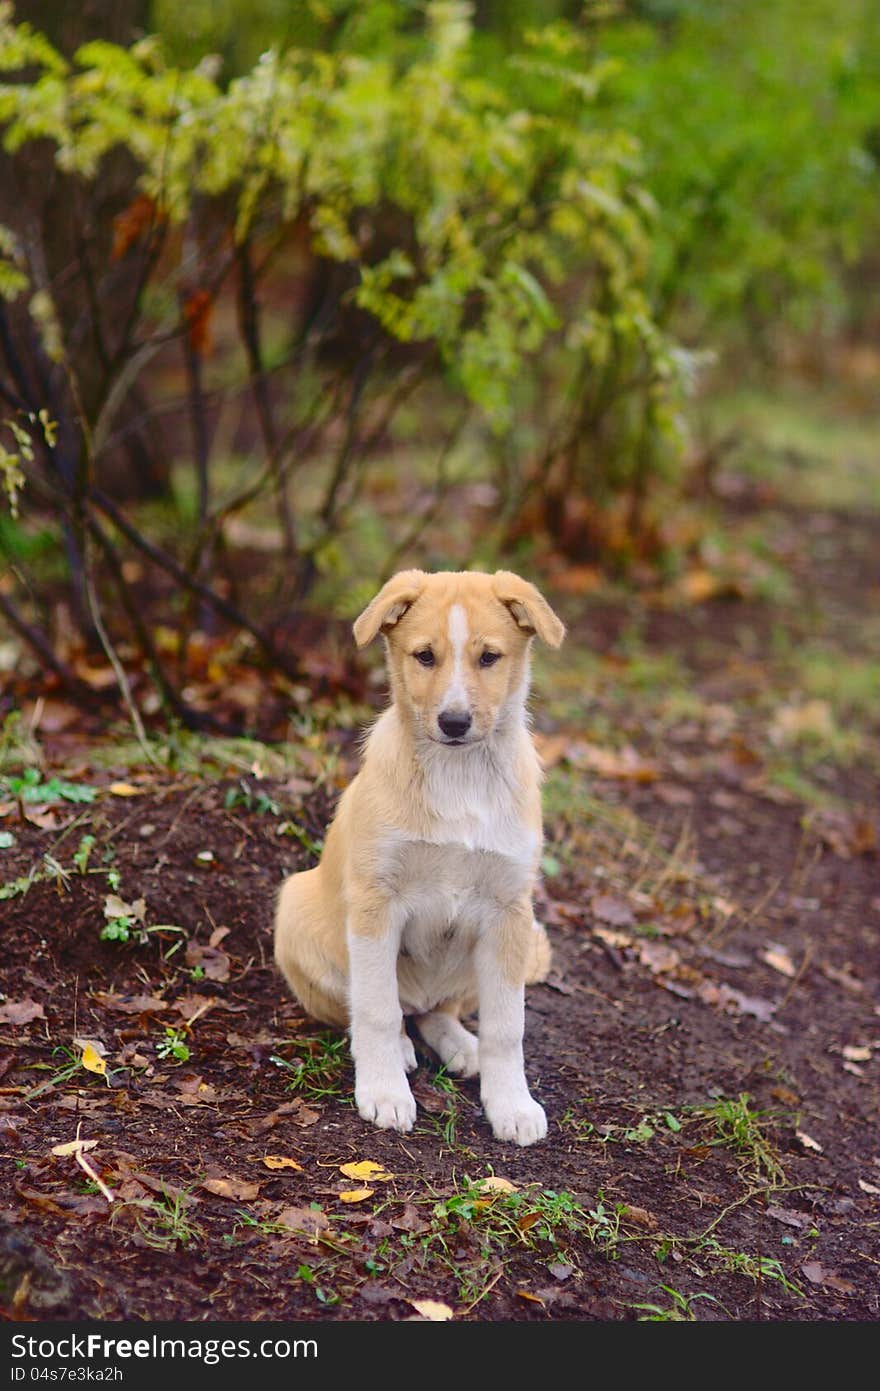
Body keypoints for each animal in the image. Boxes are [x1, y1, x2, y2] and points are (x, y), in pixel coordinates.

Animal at [271, 564, 567, 1140]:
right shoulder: (375, 901)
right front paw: (385, 1092)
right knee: (377, 1008)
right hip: (298, 913)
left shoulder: (510, 911)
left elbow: (507, 1027)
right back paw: (403, 1053)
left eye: (489, 657)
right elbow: (377, 1010)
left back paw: (460, 1046)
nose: (454, 722)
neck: (460, 777)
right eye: (424, 656)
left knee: (437, 1011)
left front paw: (511, 1105)